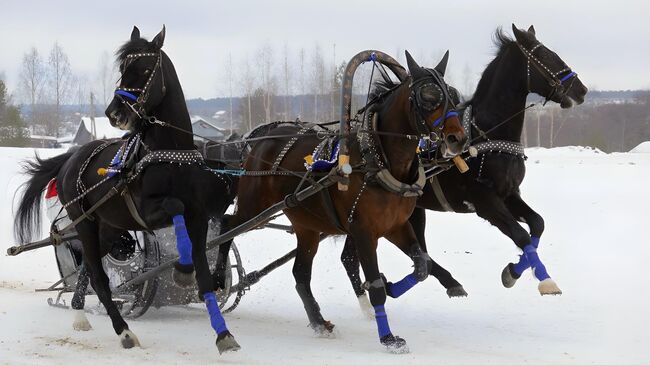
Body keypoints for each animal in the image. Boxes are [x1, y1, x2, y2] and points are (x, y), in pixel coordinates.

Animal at [13, 27, 240, 354]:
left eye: (144, 70)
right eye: (122, 70)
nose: (114, 112)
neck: (170, 154)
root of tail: (71, 158)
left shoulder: (199, 216)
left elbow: (205, 273)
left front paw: (223, 334)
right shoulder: (148, 210)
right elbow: (175, 206)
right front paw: (183, 270)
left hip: (111, 228)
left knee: (89, 268)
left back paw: (79, 312)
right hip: (86, 222)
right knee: (98, 276)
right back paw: (123, 331)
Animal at [214, 51, 466, 352]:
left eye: (453, 94)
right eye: (428, 95)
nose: (457, 138)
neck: (377, 161)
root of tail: (260, 136)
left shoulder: (395, 226)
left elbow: (421, 267)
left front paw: (393, 286)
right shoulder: (364, 231)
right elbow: (376, 285)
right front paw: (388, 338)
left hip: (307, 227)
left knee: (300, 275)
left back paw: (318, 322)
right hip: (255, 206)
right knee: (228, 224)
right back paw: (218, 278)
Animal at [340, 23, 588, 302]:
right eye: (544, 55)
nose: (580, 90)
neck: (485, 133)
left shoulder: (509, 194)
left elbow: (537, 224)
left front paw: (513, 272)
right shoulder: (485, 201)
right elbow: (521, 234)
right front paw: (544, 280)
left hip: (409, 211)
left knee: (405, 254)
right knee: (367, 256)